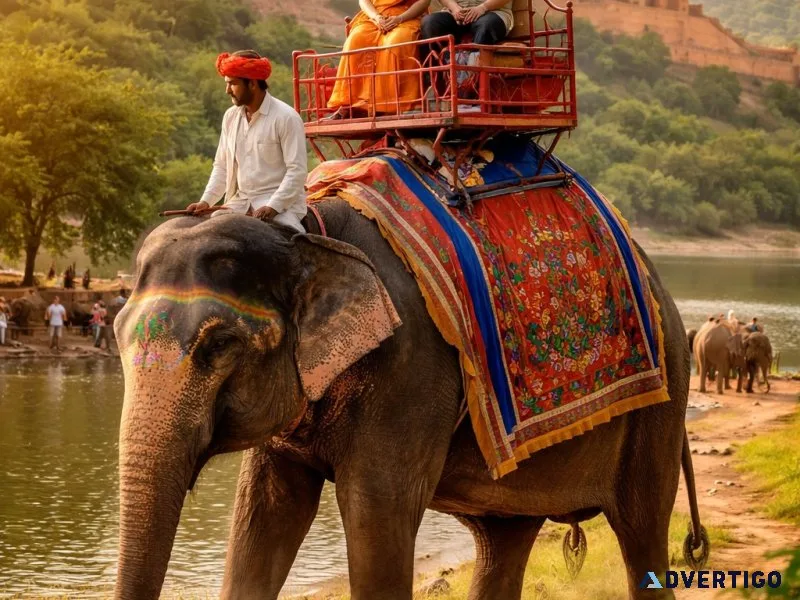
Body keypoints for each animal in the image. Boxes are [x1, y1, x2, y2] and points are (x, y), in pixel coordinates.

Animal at [113, 203, 699, 600]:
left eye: (219, 344)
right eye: (116, 333)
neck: (306, 236)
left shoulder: (410, 370)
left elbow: (376, 515)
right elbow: (264, 517)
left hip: (661, 404)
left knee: (642, 534)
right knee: (503, 542)